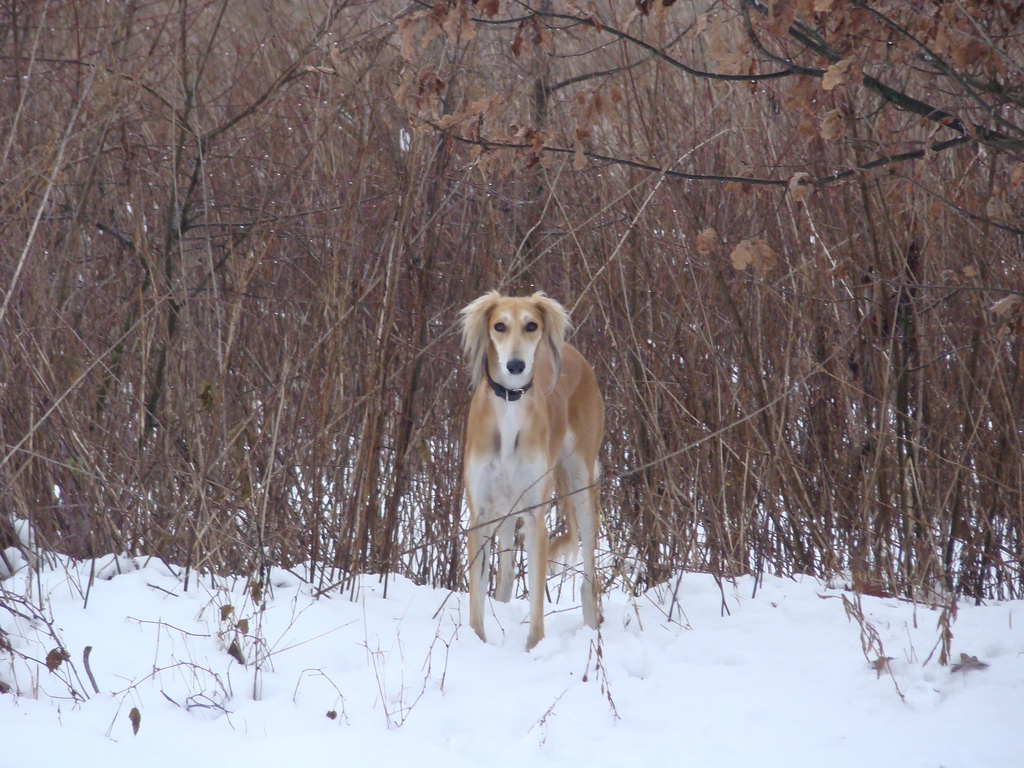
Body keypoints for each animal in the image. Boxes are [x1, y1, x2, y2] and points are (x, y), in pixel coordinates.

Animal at [460, 290, 602, 651]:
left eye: (531, 325)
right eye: (499, 325)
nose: (515, 365)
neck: (509, 405)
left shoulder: (536, 515)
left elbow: (537, 597)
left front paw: (534, 647)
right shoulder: (480, 514)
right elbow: (477, 593)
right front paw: (477, 640)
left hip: (582, 483)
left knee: (589, 574)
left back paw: (593, 628)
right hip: (508, 507)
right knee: (507, 574)